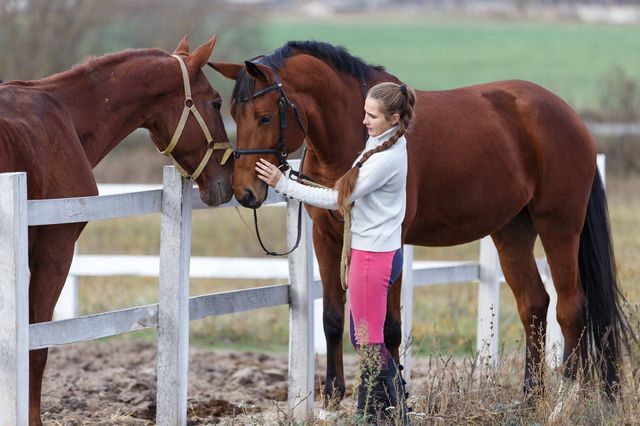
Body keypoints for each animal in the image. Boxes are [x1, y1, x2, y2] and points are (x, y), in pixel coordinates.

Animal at [212, 41, 632, 408]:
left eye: (265, 116)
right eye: (232, 113)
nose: (245, 191)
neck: (358, 135)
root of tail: (569, 116)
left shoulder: (392, 240)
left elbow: (389, 327)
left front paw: (391, 398)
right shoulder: (326, 237)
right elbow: (332, 317)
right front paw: (332, 397)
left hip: (559, 226)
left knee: (571, 309)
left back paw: (566, 400)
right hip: (512, 231)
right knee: (533, 305)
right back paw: (530, 400)